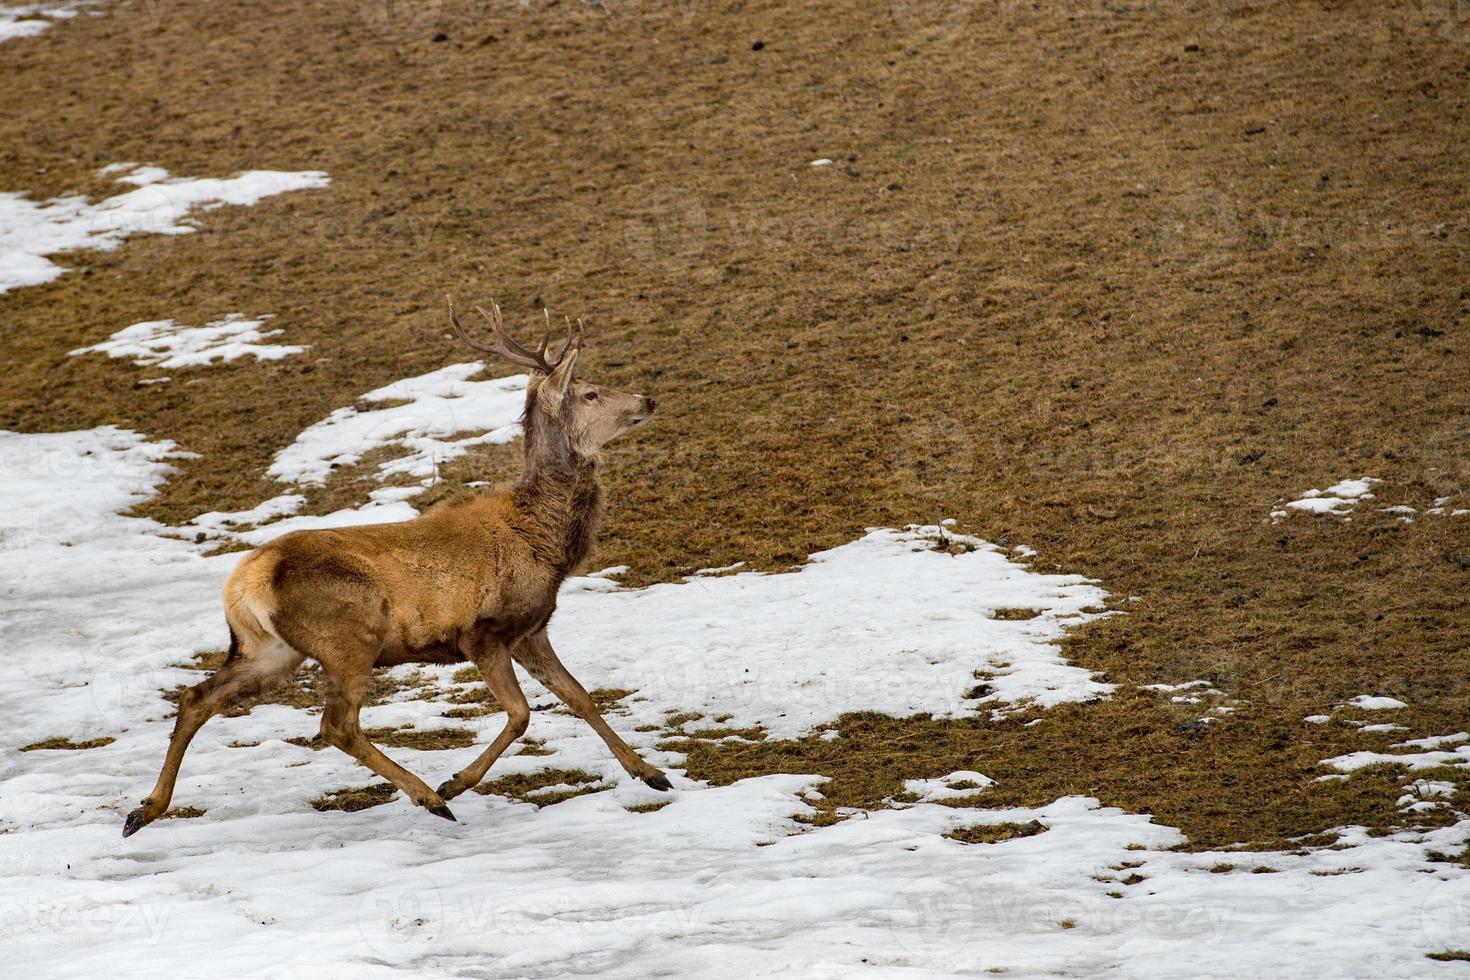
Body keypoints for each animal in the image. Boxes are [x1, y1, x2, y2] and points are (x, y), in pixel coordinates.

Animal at [126, 296, 667, 834]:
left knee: (197, 697)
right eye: (591, 393)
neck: (544, 542)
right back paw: (430, 796)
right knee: (336, 725)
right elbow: (521, 715)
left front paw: (651, 773)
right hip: (349, 636)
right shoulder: (483, 632)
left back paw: (144, 809)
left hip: (269, 649)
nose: (648, 400)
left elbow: (580, 696)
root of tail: (246, 582)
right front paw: (457, 781)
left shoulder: (531, 628)